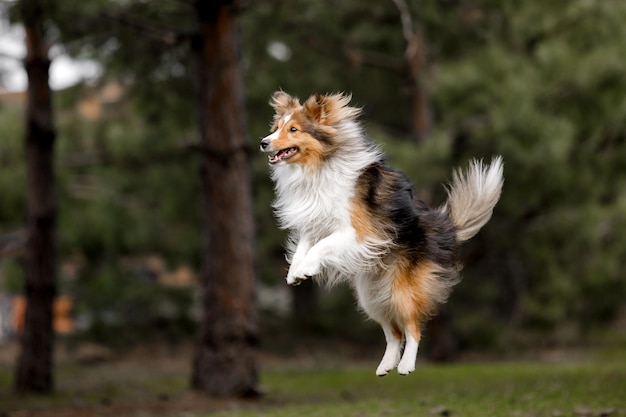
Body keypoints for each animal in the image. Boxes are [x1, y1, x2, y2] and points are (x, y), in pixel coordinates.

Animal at [258, 91, 502, 374]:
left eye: (294, 129)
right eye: (276, 127)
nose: (263, 143)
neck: (320, 166)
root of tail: (444, 226)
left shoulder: (357, 232)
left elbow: (322, 246)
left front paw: (305, 269)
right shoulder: (315, 223)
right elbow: (303, 248)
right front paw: (295, 273)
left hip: (402, 292)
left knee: (412, 328)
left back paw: (406, 365)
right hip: (371, 296)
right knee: (393, 332)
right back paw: (385, 366)